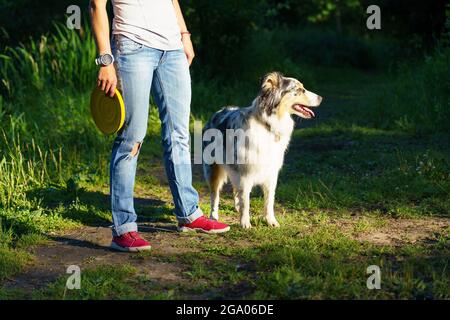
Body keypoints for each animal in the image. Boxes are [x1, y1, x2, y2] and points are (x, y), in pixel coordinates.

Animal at [202, 71, 322, 229]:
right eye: (300, 89)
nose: (321, 98)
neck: (267, 124)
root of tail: (218, 112)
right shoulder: (245, 173)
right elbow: (246, 200)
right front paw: (245, 223)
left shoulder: (271, 173)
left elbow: (269, 201)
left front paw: (271, 221)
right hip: (213, 169)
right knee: (214, 195)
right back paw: (214, 217)